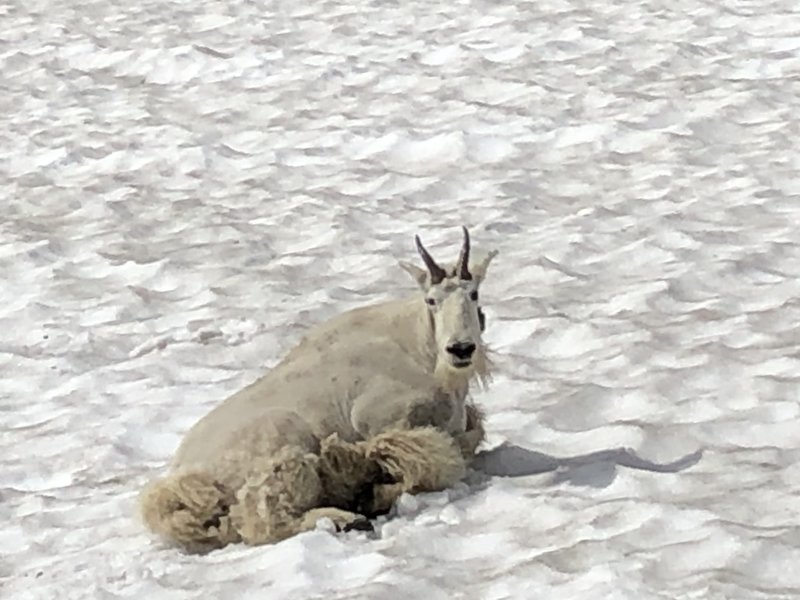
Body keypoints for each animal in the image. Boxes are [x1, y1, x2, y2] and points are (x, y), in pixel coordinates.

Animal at [141, 226, 496, 552]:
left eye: (474, 294)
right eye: (432, 300)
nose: (461, 349)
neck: (421, 350)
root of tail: (183, 478)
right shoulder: (382, 418)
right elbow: (438, 458)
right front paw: (374, 490)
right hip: (283, 441)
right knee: (262, 517)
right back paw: (346, 518)